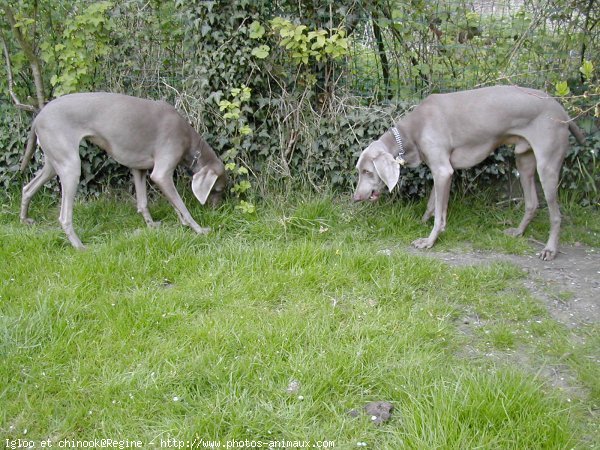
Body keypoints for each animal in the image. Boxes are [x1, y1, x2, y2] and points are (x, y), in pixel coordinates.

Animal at [20, 92, 227, 250]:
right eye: (217, 190)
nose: (217, 210)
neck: (191, 144)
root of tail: (38, 117)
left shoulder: (139, 168)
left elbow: (145, 202)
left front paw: (153, 225)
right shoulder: (161, 173)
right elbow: (181, 205)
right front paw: (199, 229)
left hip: (53, 162)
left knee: (27, 188)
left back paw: (25, 220)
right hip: (70, 166)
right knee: (64, 216)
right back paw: (79, 246)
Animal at [354, 85, 584, 260]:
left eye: (367, 171)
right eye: (359, 170)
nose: (355, 198)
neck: (412, 132)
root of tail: (562, 111)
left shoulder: (443, 171)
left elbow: (440, 214)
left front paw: (429, 240)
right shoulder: (442, 170)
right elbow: (433, 203)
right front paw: (423, 221)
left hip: (547, 165)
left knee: (556, 214)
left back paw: (550, 250)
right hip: (524, 160)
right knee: (532, 202)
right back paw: (518, 232)